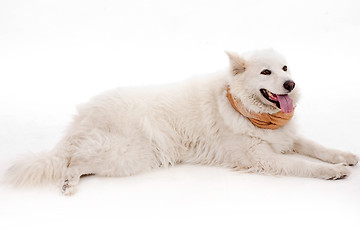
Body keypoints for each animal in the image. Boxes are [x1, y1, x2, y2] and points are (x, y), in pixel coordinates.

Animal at [7, 49, 358, 194]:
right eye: (266, 72)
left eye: (285, 68)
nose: (291, 85)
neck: (242, 106)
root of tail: (84, 114)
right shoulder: (261, 157)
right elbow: (302, 165)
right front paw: (333, 172)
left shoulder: (286, 136)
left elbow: (318, 147)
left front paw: (345, 156)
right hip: (129, 154)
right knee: (74, 160)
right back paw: (68, 182)